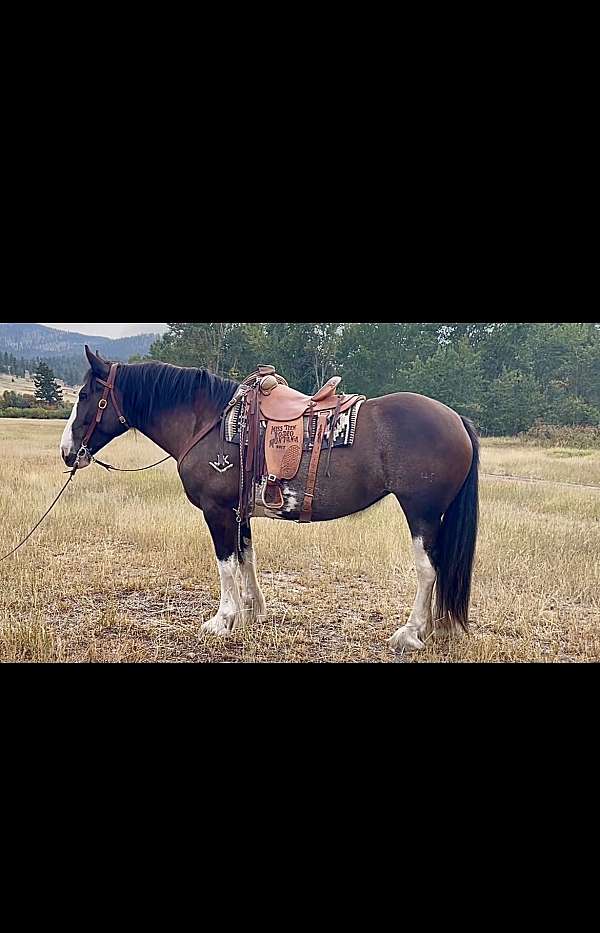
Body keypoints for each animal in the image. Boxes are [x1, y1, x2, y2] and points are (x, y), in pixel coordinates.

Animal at [61, 346, 480, 653]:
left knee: (428, 571)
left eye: (84, 395)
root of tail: (456, 419)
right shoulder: (238, 512)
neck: (209, 422)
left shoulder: (217, 512)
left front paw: (222, 620)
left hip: (422, 513)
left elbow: (226, 564)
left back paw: (409, 633)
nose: (67, 452)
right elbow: (247, 557)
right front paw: (250, 612)